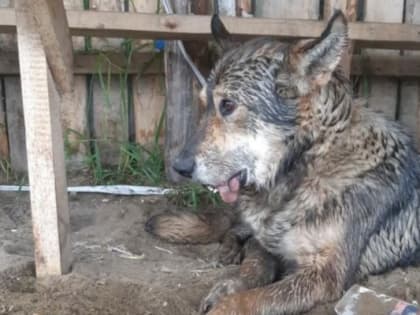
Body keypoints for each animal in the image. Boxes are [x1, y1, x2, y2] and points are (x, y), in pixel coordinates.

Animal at [146, 11, 420, 314]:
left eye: (228, 105)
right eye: (205, 105)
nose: (178, 167)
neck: (306, 166)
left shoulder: (326, 276)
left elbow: (252, 298)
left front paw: (225, 303)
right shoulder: (267, 245)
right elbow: (252, 270)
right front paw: (227, 286)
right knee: (234, 227)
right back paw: (228, 249)